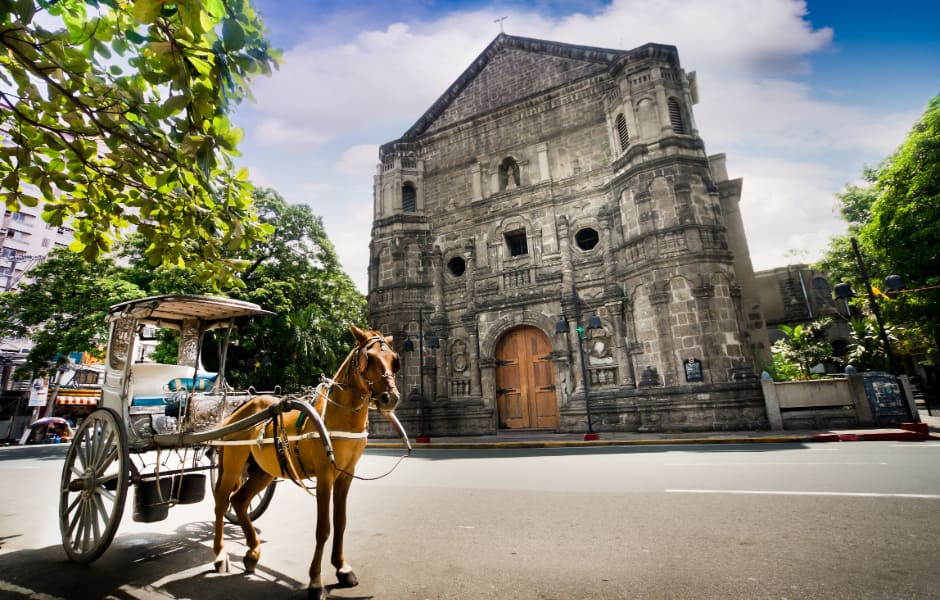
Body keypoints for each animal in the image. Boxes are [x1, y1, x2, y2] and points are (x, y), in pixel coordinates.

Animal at [211, 326, 402, 596]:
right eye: (370, 358)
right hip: (232, 462)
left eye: (394, 359)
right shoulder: (324, 475)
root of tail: (240, 408)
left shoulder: (346, 474)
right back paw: (219, 554)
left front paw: (342, 568)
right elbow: (323, 528)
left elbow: (340, 522)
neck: (339, 415)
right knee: (221, 502)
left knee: (238, 500)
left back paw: (253, 552)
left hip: (262, 471)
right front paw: (315, 580)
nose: (390, 398)